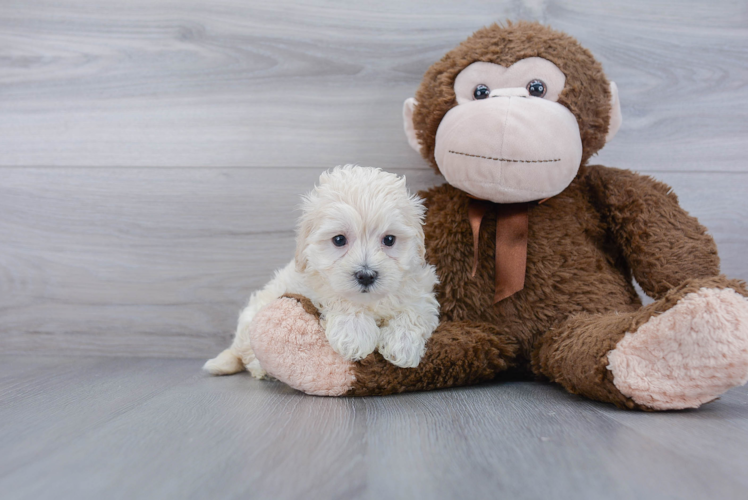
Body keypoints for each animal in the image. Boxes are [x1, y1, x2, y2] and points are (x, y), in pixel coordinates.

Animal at [203, 165, 438, 378]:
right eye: (339, 240)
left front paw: (403, 343)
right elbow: (338, 297)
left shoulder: (420, 288)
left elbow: (415, 310)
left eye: (389, 239)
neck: (369, 302)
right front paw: (355, 334)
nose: (366, 275)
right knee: (248, 355)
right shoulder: (311, 284)